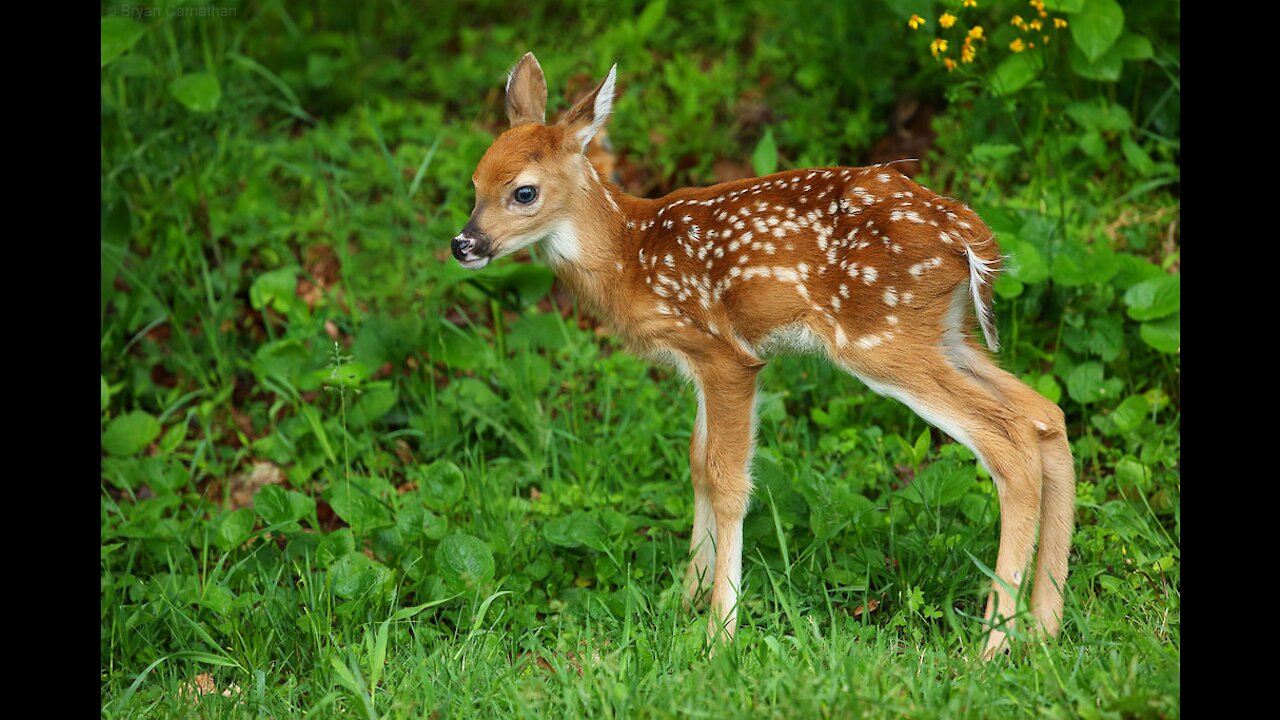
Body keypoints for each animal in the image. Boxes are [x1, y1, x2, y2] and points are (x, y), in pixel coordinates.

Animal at [455, 51, 1075, 655]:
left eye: (524, 191)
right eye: (475, 183)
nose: (464, 244)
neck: (629, 257)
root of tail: (970, 236)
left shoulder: (724, 354)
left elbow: (727, 480)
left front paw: (719, 633)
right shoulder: (701, 364)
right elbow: (697, 465)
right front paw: (686, 598)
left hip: (882, 337)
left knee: (1011, 441)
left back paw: (992, 647)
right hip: (945, 334)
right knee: (1046, 415)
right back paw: (1045, 627)